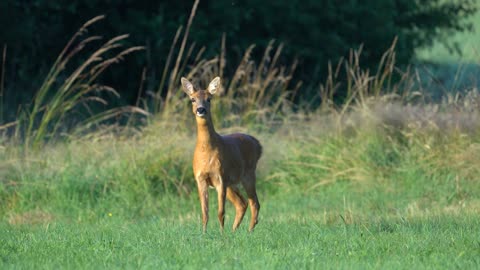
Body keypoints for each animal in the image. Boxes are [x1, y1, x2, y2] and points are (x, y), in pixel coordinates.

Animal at [180, 76, 262, 232]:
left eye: (209, 99)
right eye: (192, 99)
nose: (200, 109)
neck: (206, 153)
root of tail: (258, 144)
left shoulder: (220, 177)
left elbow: (221, 212)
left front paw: (221, 234)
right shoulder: (200, 179)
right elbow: (204, 212)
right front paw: (204, 233)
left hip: (248, 174)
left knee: (254, 202)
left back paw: (249, 231)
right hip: (232, 183)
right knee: (242, 203)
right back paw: (234, 230)